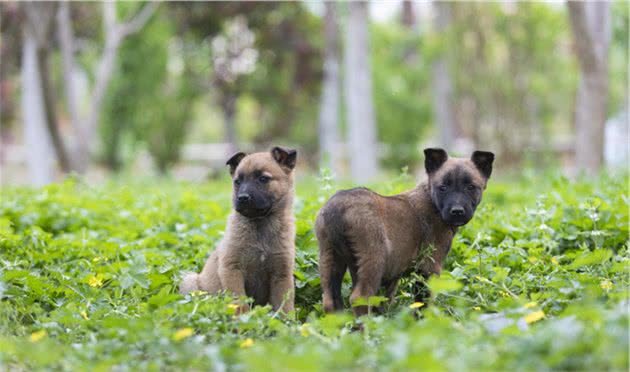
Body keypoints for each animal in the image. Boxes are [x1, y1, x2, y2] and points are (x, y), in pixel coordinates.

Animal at [181, 147, 300, 312]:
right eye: (237, 182)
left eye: (263, 179)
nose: (242, 198)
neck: (260, 224)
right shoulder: (232, 269)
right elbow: (239, 302)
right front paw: (244, 318)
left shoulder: (282, 275)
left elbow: (285, 307)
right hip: (190, 281)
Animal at [316, 147, 494, 316]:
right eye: (443, 187)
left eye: (471, 187)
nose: (457, 211)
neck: (432, 201)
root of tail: (336, 209)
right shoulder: (429, 265)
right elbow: (422, 302)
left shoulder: (394, 273)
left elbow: (385, 301)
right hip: (373, 259)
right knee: (360, 297)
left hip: (330, 258)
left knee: (330, 301)